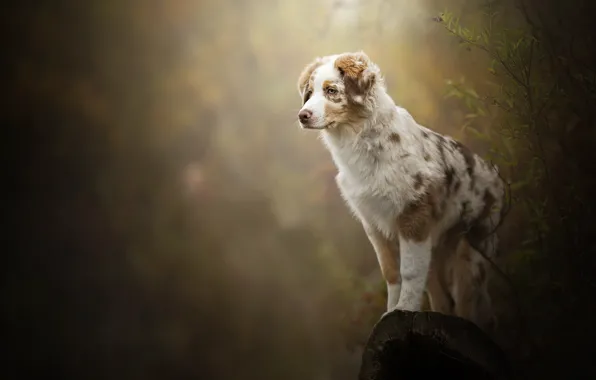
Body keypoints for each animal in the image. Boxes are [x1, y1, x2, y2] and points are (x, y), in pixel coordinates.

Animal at [296, 51, 506, 330]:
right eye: (309, 93)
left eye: (331, 91)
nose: (302, 115)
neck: (363, 142)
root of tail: (497, 176)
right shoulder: (374, 223)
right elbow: (391, 272)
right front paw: (390, 312)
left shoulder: (413, 217)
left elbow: (410, 271)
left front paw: (403, 309)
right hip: (437, 251)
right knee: (443, 298)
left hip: (471, 255)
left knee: (471, 304)